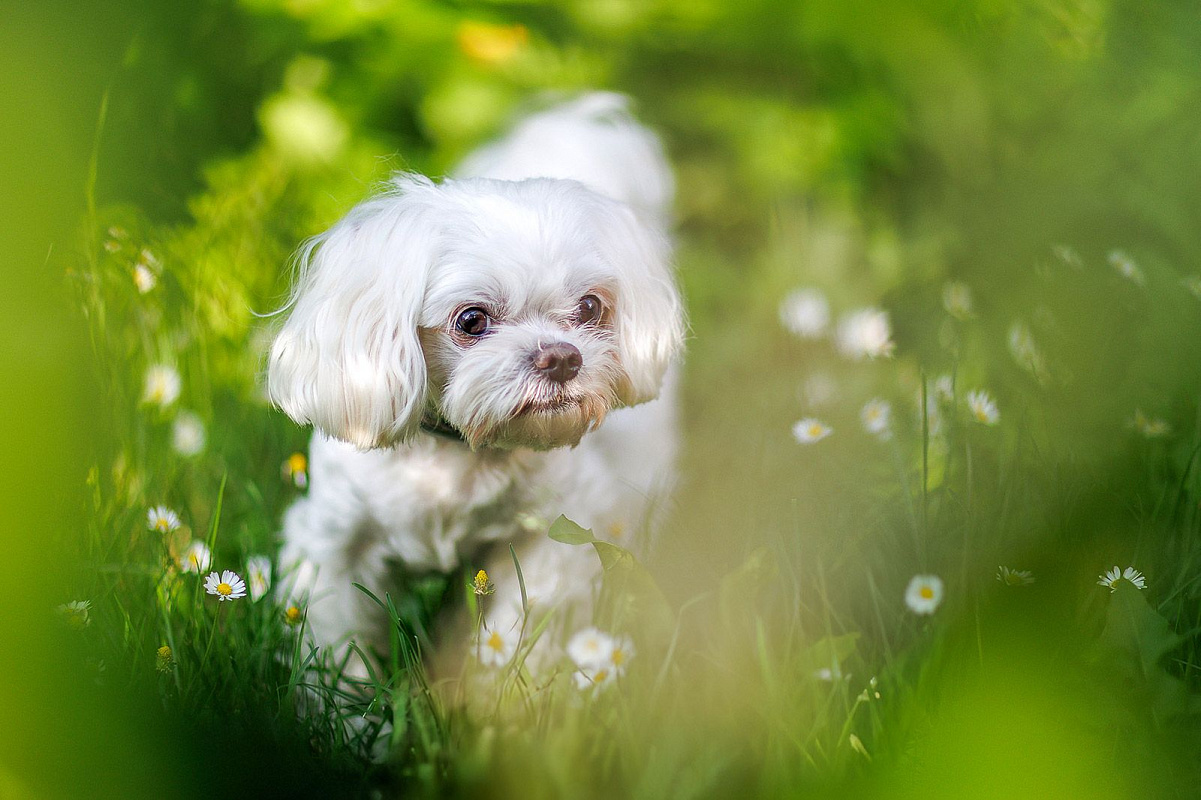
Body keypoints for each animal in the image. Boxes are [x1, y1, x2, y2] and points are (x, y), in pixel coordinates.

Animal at [273, 93, 686, 677]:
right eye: (471, 319)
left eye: (590, 307)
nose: (562, 358)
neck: (458, 458)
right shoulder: (332, 548)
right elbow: (337, 645)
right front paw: (347, 701)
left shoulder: (551, 537)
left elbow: (516, 632)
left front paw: (496, 693)